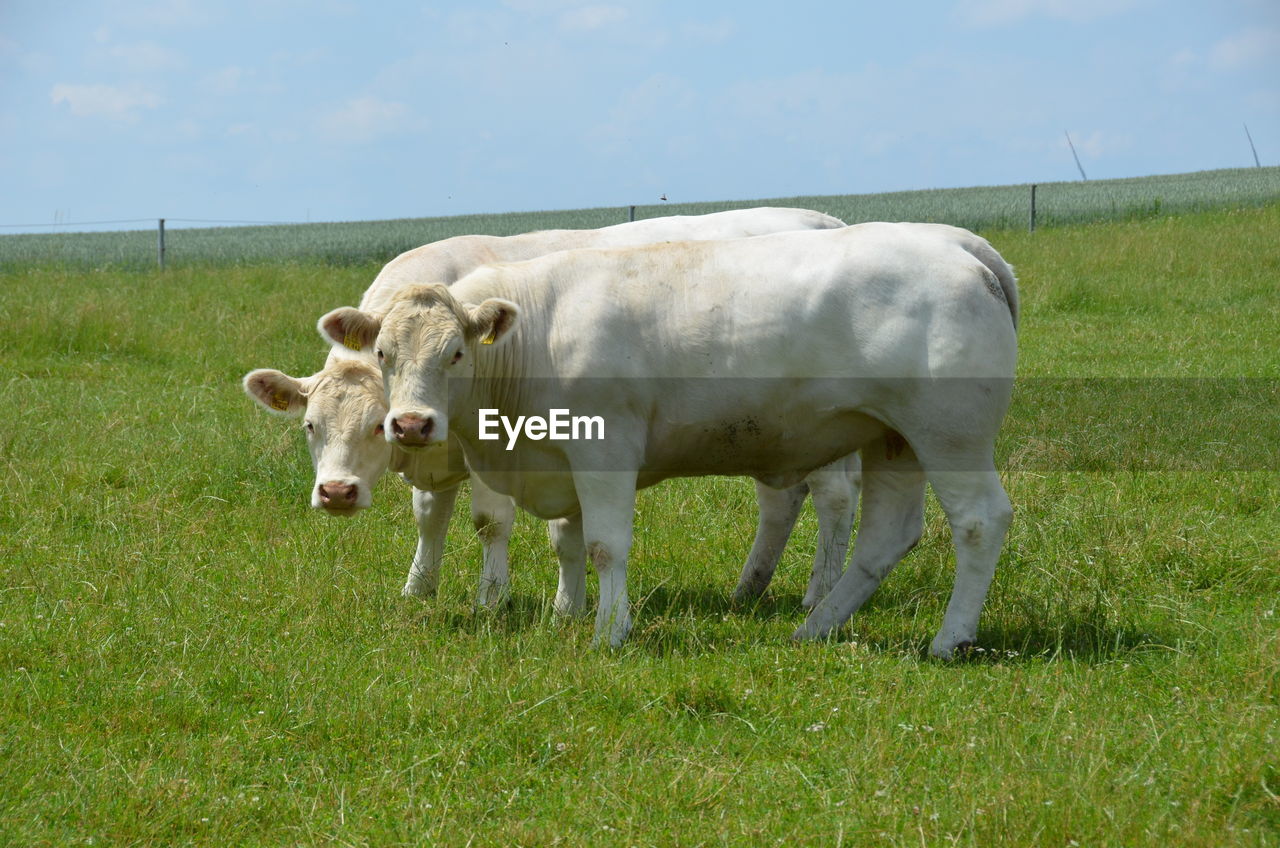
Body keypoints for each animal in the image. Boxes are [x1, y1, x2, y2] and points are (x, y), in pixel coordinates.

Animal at [241, 208, 860, 614]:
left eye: (375, 425)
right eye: (310, 426)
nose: (337, 493)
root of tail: (827, 220)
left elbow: (490, 521)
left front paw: (491, 600)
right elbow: (431, 516)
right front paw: (419, 587)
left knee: (832, 499)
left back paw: (819, 594)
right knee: (781, 501)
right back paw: (748, 589)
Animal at [322, 220, 1018, 655]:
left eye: (458, 353)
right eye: (383, 354)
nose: (412, 424)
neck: (538, 335)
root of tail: (958, 242)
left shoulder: (604, 451)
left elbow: (605, 546)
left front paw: (609, 632)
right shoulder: (561, 459)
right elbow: (567, 541)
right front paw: (568, 612)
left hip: (948, 433)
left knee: (978, 521)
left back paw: (949, 639)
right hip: (892, 438)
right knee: (886, 534)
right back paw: (816, 628)